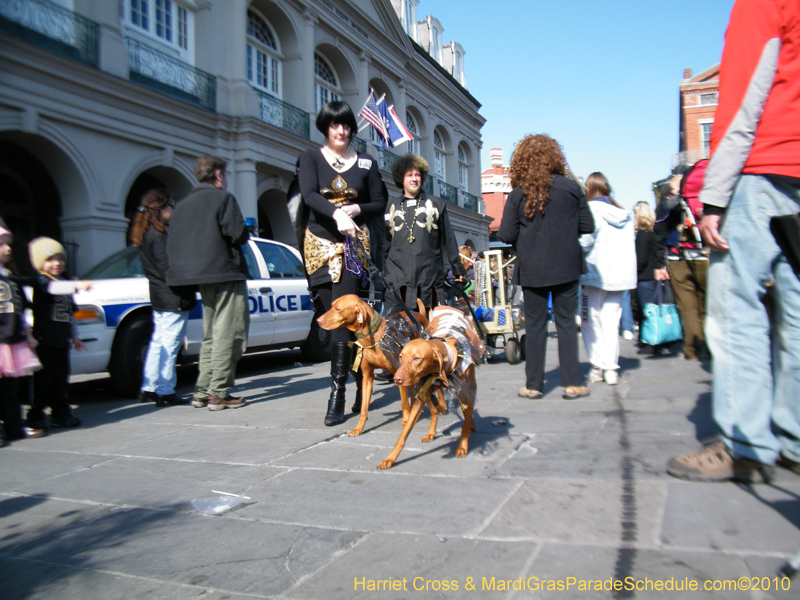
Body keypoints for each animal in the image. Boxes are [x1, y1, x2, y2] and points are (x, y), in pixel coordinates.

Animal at [318, 294, 444, 436]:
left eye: (338, 309)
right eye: (331, 306)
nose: (318, 320)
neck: (374, 339)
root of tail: (420, 314)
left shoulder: (398, 375)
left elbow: (404, 403)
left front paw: (406, 421)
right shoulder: (367, 377)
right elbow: (364, 408)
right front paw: (358, 428)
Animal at [378, 308, 484, 472]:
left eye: (416, 358)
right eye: (401, 357)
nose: (396, 379)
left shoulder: (466, 390)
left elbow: (465, 420)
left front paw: (462, 447)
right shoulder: (420, 398)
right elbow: (404, 434)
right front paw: (389, 459)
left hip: (467, 388)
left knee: (466, 411)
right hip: (426, 391)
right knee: (434, 410)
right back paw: (432, 431)